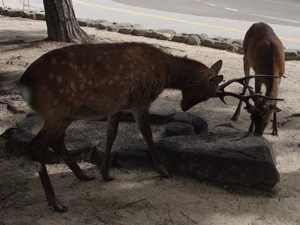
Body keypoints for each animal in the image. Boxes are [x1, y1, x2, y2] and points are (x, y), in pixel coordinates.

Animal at [18, 42, 276, 213]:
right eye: (208, 94)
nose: (183, 106)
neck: (164, 72)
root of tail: (24, 85)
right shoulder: (140, 100)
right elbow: (148, 136)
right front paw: (163, 170)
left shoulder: (118, 104)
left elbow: (111, 135)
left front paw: (106, 173)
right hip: (60, 107)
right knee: (36, 145)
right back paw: (57, 203)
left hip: (62, 113)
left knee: (56, 141)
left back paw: (84, 175)